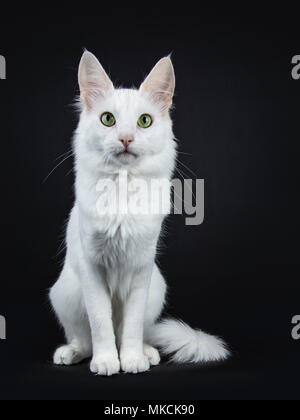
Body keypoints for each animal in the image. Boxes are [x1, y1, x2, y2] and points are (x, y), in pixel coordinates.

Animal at [49, 50, 229, 376]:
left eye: (144, 121)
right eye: (108, 119)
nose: (126, 139)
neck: (123, 187)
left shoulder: (141, 268)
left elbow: (130, 327)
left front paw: (131, 360)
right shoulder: (92, 269)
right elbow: (101, 324)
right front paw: (107, 361)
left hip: (156, 289)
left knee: (138, 331)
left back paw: (147, 353)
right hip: (66, 293)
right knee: (83, 338)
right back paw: (72, 353)